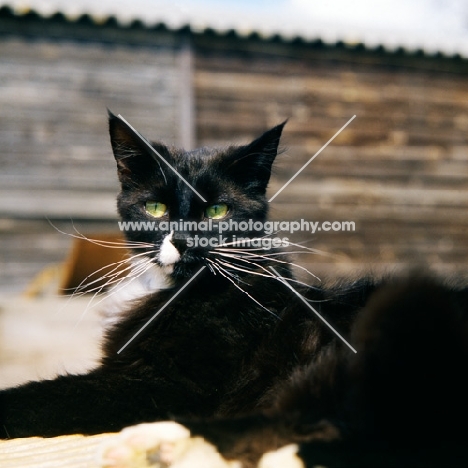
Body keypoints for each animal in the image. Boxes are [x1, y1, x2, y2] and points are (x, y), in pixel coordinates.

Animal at [0, 114, 468, 468]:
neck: (178, 291)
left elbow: (55, 394)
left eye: (217, 210)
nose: (183, 239)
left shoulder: (170, 385)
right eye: (156, 207)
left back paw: (156, 447)